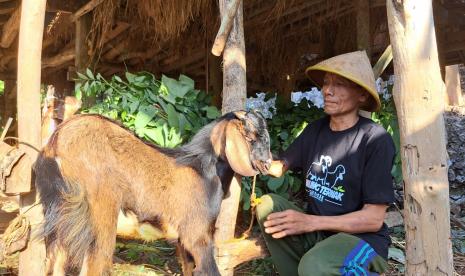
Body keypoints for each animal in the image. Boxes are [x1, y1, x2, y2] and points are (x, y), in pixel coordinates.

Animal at [35, 110, 272, 276]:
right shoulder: (197, 235)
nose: (267, 163)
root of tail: (55, 143)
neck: (203, 169)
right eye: (251, 136)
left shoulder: (182, 241)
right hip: (99, 215)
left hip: (61, 220)